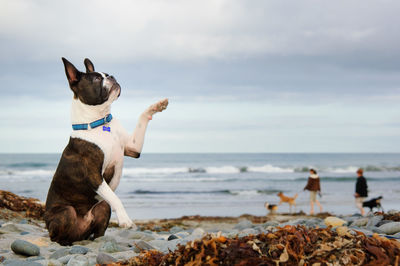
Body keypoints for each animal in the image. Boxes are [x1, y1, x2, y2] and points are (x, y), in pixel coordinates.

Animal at [44, 58, 168, 245]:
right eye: (96, 79)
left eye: (107, 74)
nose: (112, 76)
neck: (100, 122)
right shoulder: (94, 176)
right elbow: (115, 197)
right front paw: (125, 220)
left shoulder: (133, 148)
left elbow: (142, 118)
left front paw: (156, 106)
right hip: (66, 212)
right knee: (57, 234)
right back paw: (65, 243)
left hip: (102, 207)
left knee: (99, 225)